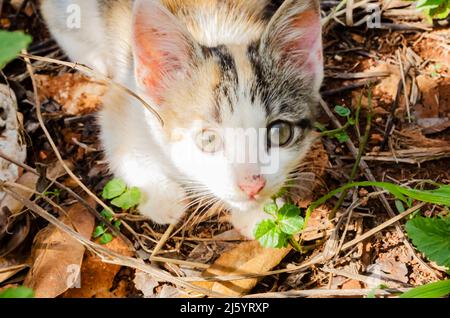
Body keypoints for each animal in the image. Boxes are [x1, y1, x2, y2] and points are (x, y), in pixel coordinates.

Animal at [39, 0, 324, 238]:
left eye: (280, 133)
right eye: (208, 140)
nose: (252, 186)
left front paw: (259, 213)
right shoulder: (126, 101)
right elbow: (121, 147)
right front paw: (163, 197)